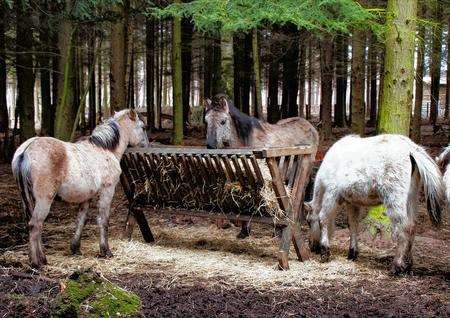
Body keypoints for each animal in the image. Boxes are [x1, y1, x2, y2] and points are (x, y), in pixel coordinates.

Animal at [11, 108, 149, 268]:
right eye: (143, 127)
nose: (146, 147)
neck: (105, 149)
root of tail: (26, 150)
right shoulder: (107, 191)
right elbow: (103, 220)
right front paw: (105, 251)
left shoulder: (86, 197)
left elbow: (81, 221)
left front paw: (75, 248)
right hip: (44, 200)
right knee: (35, 225)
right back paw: (36, 262)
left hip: (27, 198)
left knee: (34, 225)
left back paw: (42, 258)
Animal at [204, 93, 320, 237]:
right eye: (206, 121)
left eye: (223, 121)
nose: (210, 145)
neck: (245, 141)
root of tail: (310, 126)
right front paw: (243, 231)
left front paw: (245, 230)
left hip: (305, 169)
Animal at [304, 134, 444, 274]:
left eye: (308, 221)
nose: (312, 247)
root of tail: (411, 148)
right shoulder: (352, 202)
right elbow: (353, 225)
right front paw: (352, 253)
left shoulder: (331, 194)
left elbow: (323, 218)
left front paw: (325, 251)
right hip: (411, 197)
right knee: (413, 226)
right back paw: (408, 264)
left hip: (395, 199)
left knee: (403, 228)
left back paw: (397, 266)